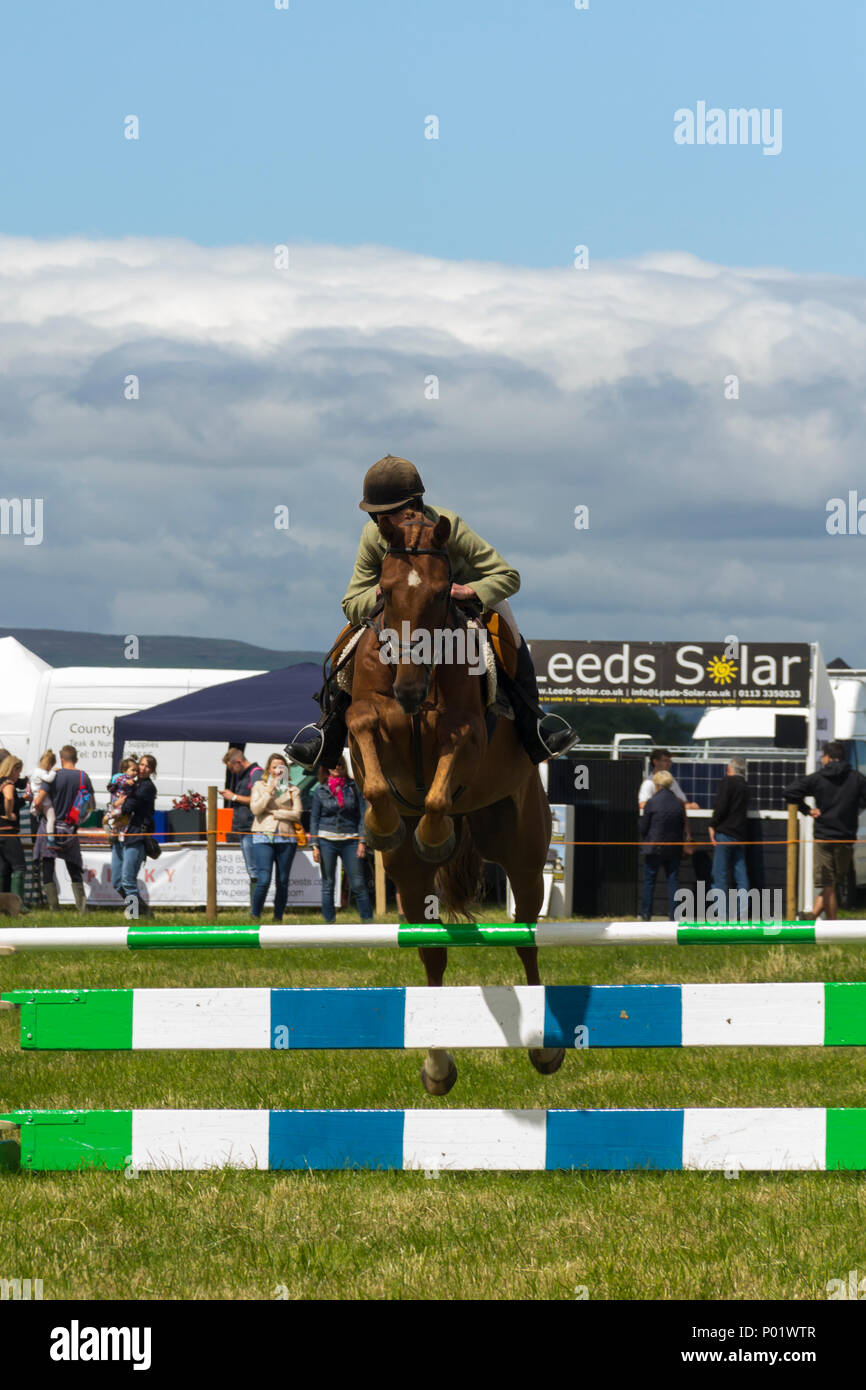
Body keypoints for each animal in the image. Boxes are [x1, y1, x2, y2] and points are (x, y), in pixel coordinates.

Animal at [346, 511, 569, 1095]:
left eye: (442, 592)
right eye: (385, 591)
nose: (408, 689)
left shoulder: (467, 733)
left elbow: (442, 782)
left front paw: (434, 834)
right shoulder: (370, 720)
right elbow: (368, 745)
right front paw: (386, 824)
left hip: (524, 853)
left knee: (526, 937)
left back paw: (544, 1050)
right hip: (409, 881)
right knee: (432, 949)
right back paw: (437, 1065)